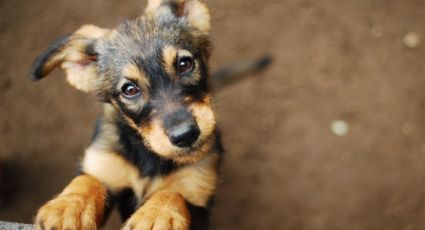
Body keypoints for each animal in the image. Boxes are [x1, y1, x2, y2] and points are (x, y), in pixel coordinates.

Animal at [31, 0, 220, 230]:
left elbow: (173, 193)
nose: (185, 135)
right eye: (129, 90)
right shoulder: (104, 163)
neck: (149, 158)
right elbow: (88, 179)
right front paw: (68, 206)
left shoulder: (198, 196)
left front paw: (156, 214)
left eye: (185, 64)